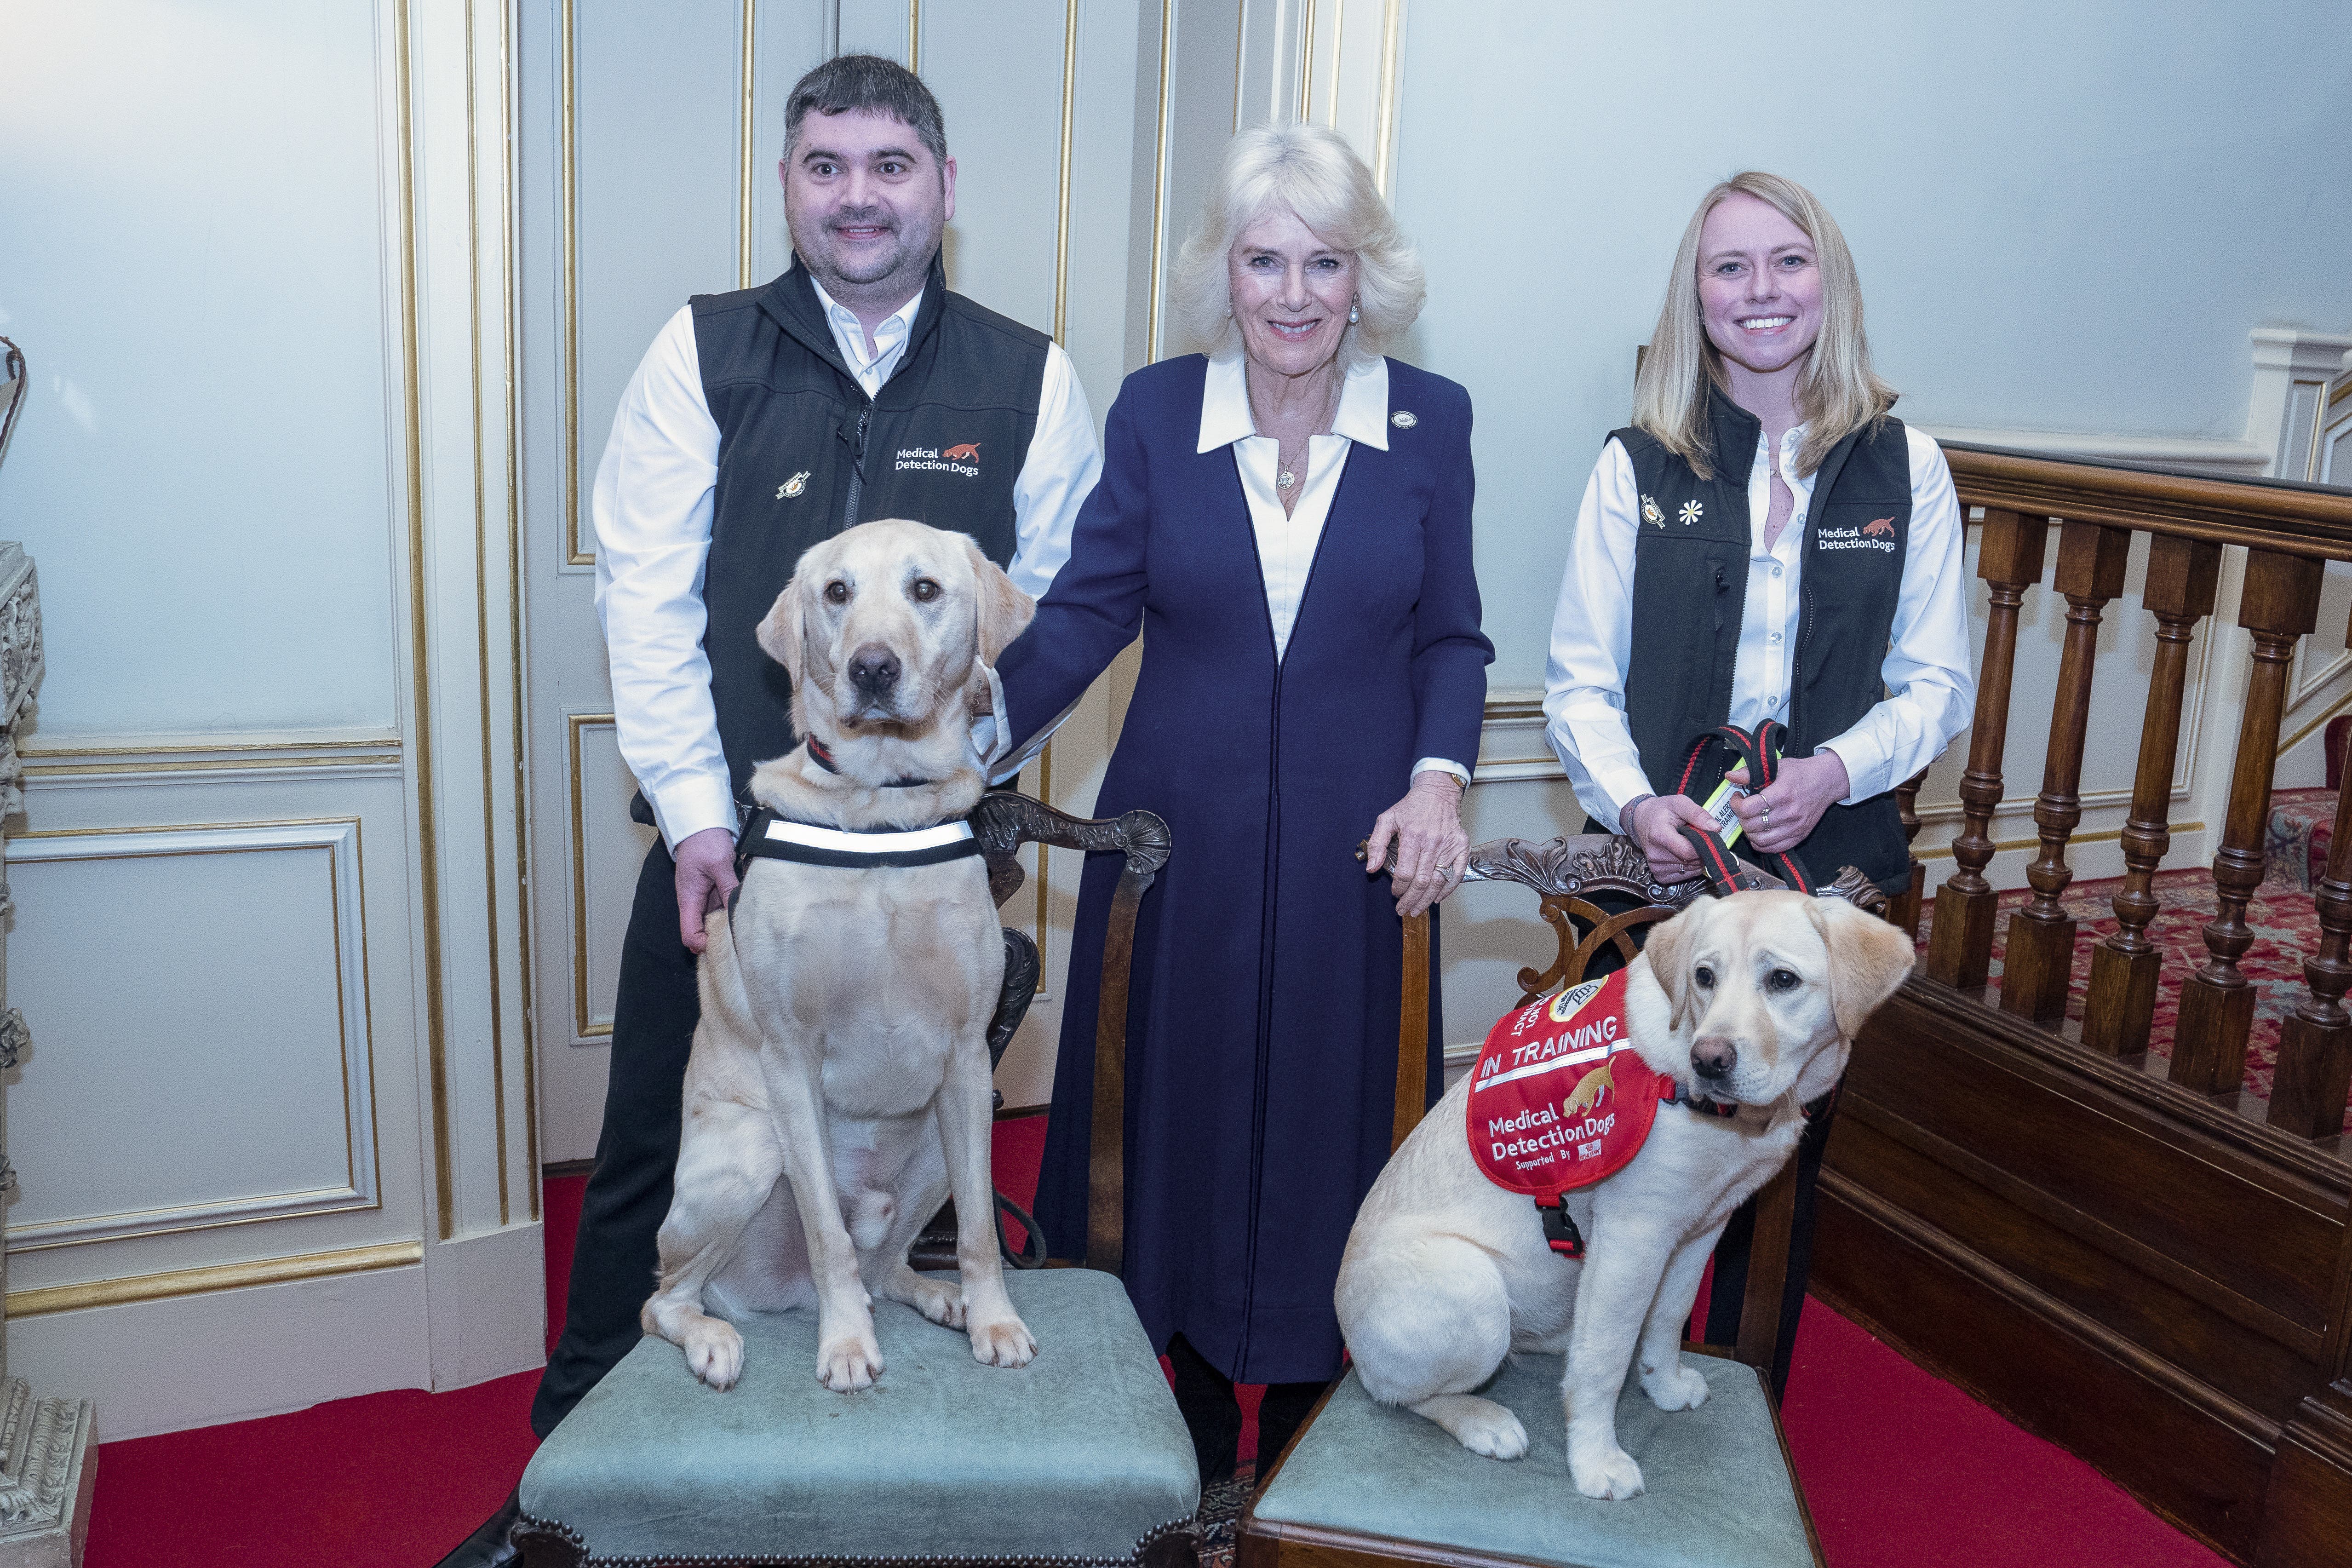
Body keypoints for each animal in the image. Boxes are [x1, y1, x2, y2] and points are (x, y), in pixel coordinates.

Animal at [649, 517, 1044, 1401]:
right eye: (836, 592)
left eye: (925, 589)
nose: (871, 667)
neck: (881, 809)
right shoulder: (790, 1059)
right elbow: (827, 1231)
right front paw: (847, 1346)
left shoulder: (967, 1059)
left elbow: (979, 1229)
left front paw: (995, 1318)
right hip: (752, 1149)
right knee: (668, 1298)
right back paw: (714, 1339)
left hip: (942, 1138)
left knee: (886, 1263)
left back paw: (940, 1296)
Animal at [1345, 893, 1910, 1495]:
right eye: (1703, 977)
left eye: (1782, 979)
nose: (1708, 1060)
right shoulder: (1633, 1236)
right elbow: (1604, 1363)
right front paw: (1595, 1461)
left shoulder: (1700, 1229)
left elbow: (1667, 1319)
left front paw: (1662, 1386)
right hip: (1472, 1290)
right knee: (1394, 1391)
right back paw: (1483, 1419)